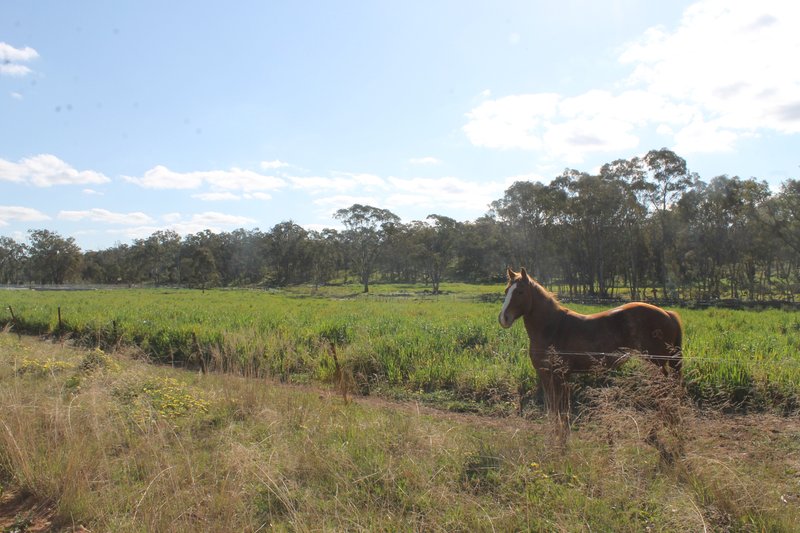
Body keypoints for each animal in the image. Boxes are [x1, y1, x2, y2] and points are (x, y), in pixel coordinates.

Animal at [500, 268, 680, 410]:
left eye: (520, 292)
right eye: (506, 291)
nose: (503, 318)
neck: (551, 327)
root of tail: (668, 313)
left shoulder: (557, 375)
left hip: (657, 362)